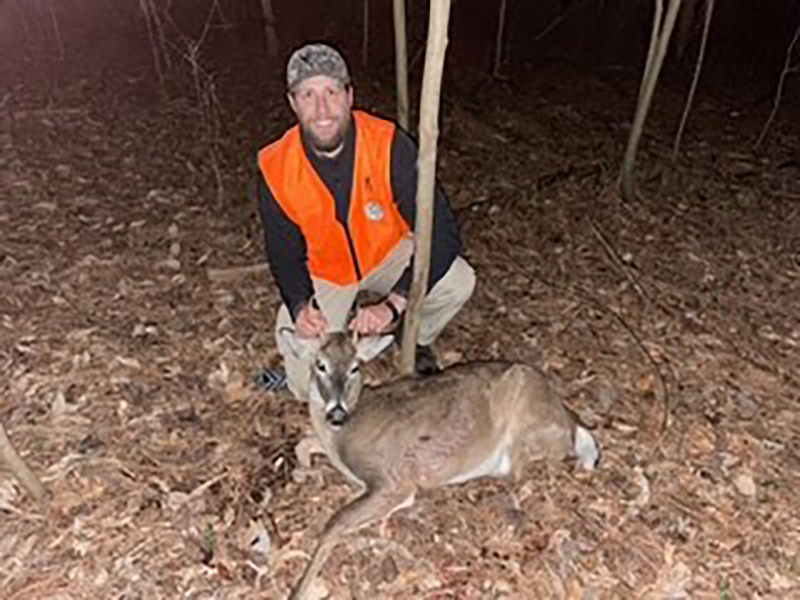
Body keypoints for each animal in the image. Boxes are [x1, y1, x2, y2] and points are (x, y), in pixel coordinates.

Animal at [280, 329, 600, 600]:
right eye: (320, 365)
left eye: (355, 368)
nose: (336, 413)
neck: (342, 436)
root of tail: (565, 412)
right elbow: (302, 444)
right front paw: (305, 473)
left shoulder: (393, 480)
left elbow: (335, 523)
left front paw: (299, 590)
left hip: (524, 404)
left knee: (524, 467)